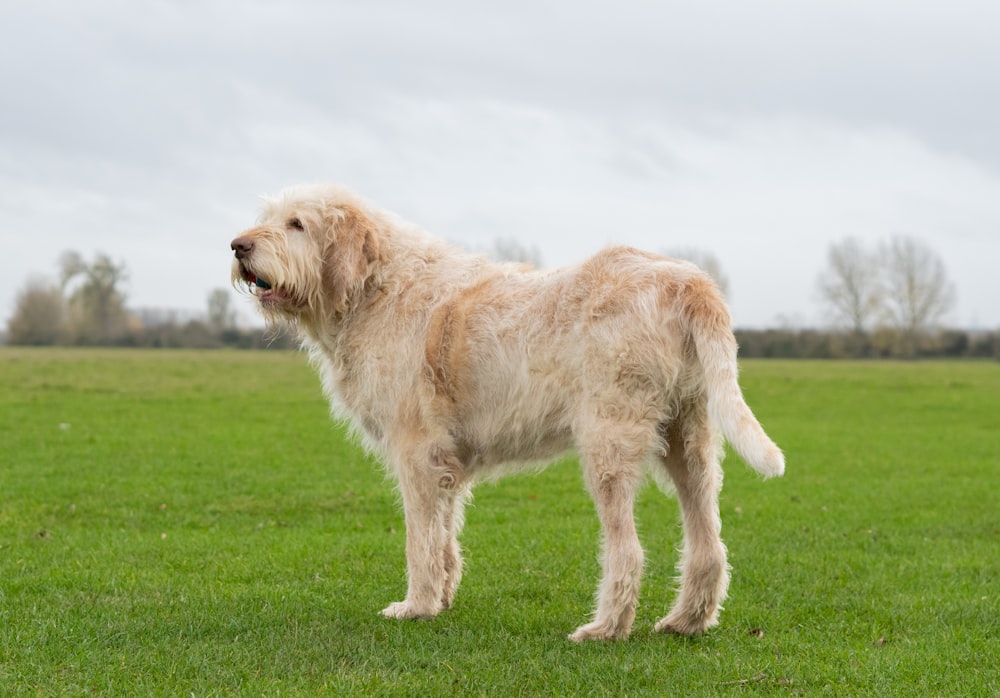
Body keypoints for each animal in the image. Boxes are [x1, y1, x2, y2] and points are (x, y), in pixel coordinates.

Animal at [230, 182, 784, 640]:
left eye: (297, 224)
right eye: (269, 218)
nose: (238, 246)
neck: (374, 286)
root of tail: (689, 282)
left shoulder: (416, 453)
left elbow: (419, 540)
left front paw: (416, 606)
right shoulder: (445, 460)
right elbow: (444, 536)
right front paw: (442, 599)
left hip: (609, 443)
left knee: (628, 550)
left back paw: (605, 629)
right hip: (689, 440)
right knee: (709, 544)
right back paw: (685, 622)